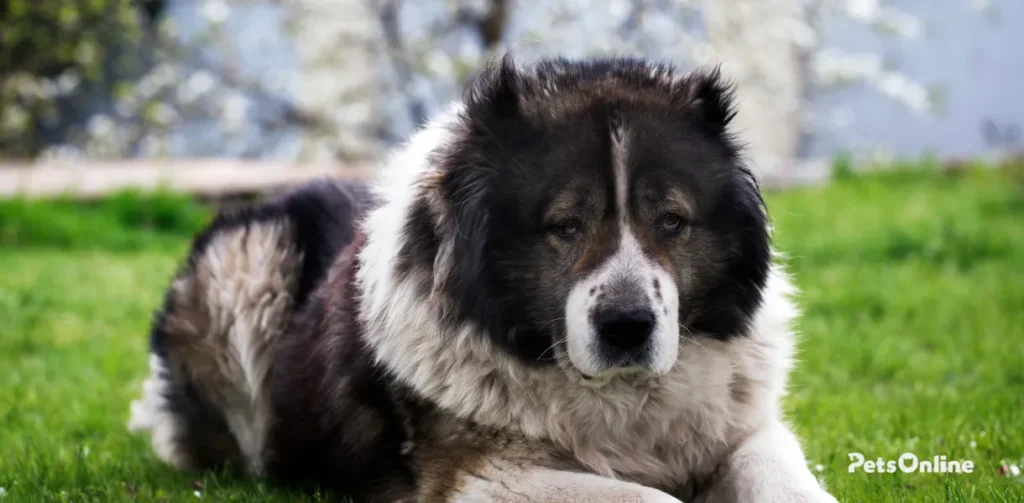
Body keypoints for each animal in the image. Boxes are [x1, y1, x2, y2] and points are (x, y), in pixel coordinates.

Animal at [125, 56, 839, 503]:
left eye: (671, 221)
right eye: (565, 225)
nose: (627, 327)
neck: (623, 402)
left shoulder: (746, 432)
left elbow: (787, 481)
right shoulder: (482, 477)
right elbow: (649, 499)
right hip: (248, 266)